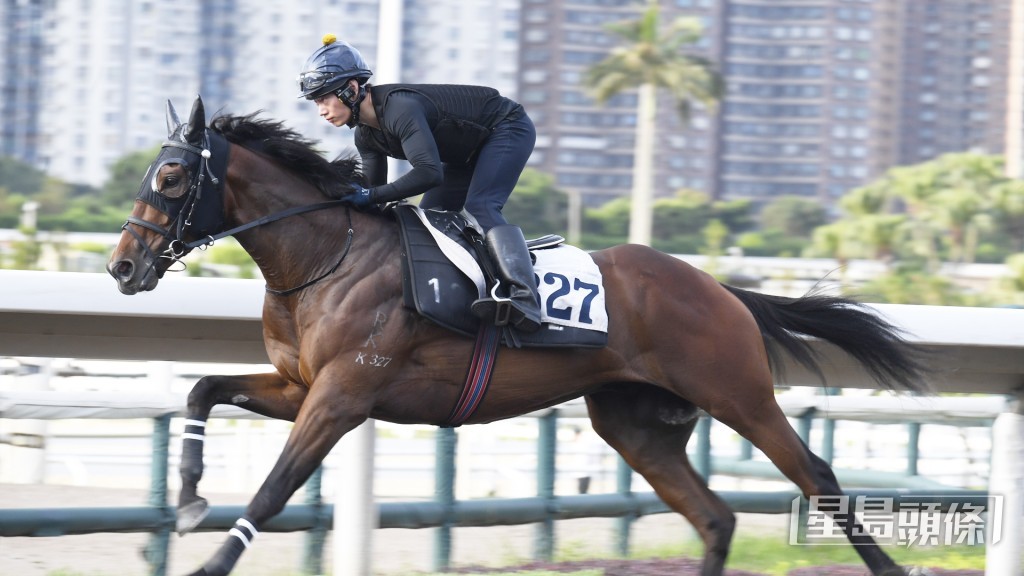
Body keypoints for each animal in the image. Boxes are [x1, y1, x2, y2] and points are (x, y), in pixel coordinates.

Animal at [107, 96, 929, 576]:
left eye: (172, 177)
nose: (122, 267)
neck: (322, 257)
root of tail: (720, 290)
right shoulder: (298, 384)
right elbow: (202, 388)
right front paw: (186, 499)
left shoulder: (342, 395)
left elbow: (276, 487)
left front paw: (207, 560)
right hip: (637, 424)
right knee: (715, 517)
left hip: (737, 394)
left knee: (816, 477)